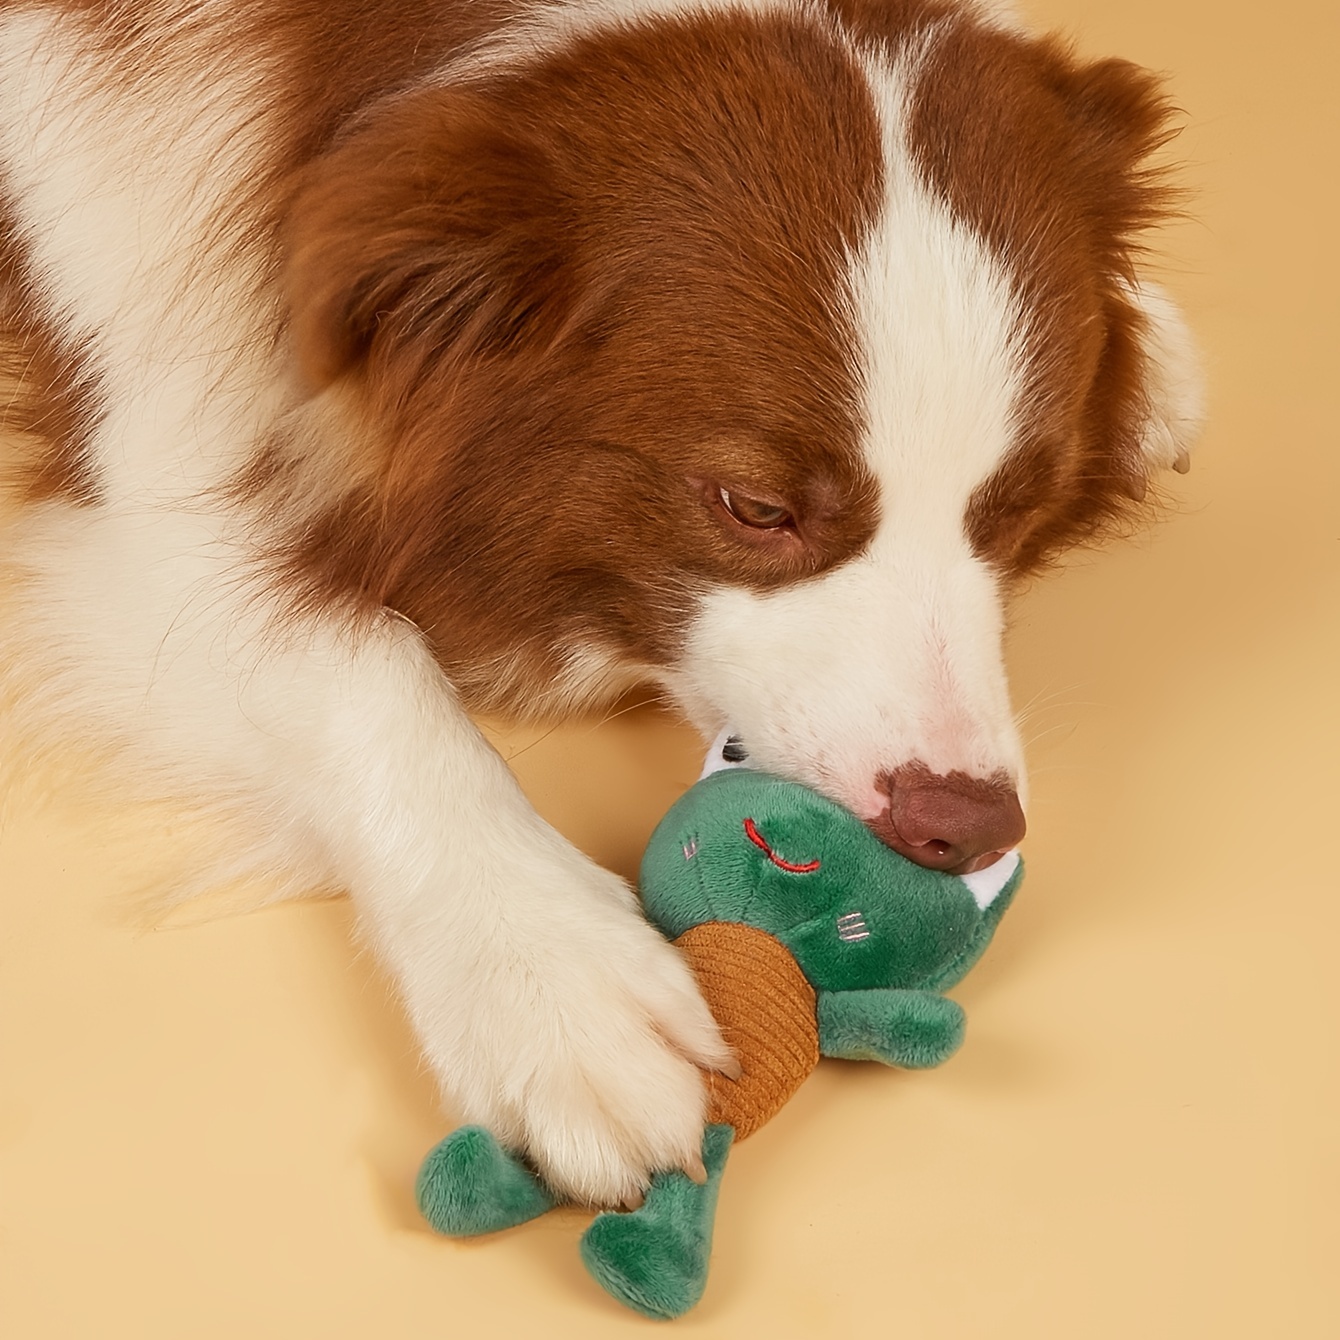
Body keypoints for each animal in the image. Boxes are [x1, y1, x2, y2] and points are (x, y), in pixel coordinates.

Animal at [0, 0, 1206, 1211]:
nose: (963, 823)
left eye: (1017, 507)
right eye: (756, 507)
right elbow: (354, 666)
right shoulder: (141, 442)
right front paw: (560, 989)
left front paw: (1153, 350)